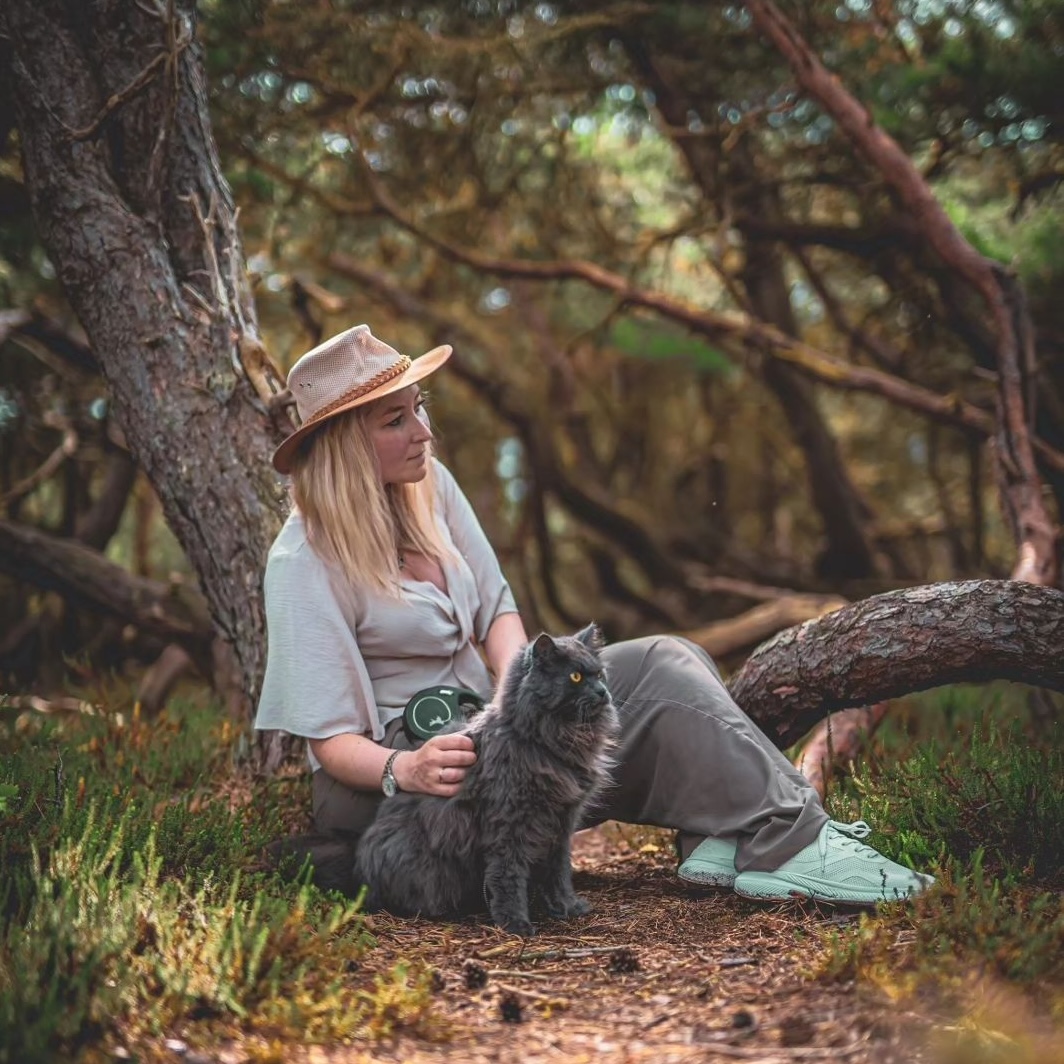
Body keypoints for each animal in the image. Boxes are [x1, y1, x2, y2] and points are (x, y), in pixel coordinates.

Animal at [353, 621, 617, 940]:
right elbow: (507, 876)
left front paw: (567, 906)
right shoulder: (509, 823)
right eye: (575, 677)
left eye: (600, 674)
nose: (603, 692)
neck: (547, 741)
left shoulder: (561, 823)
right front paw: (515, 923)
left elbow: (559, 871)